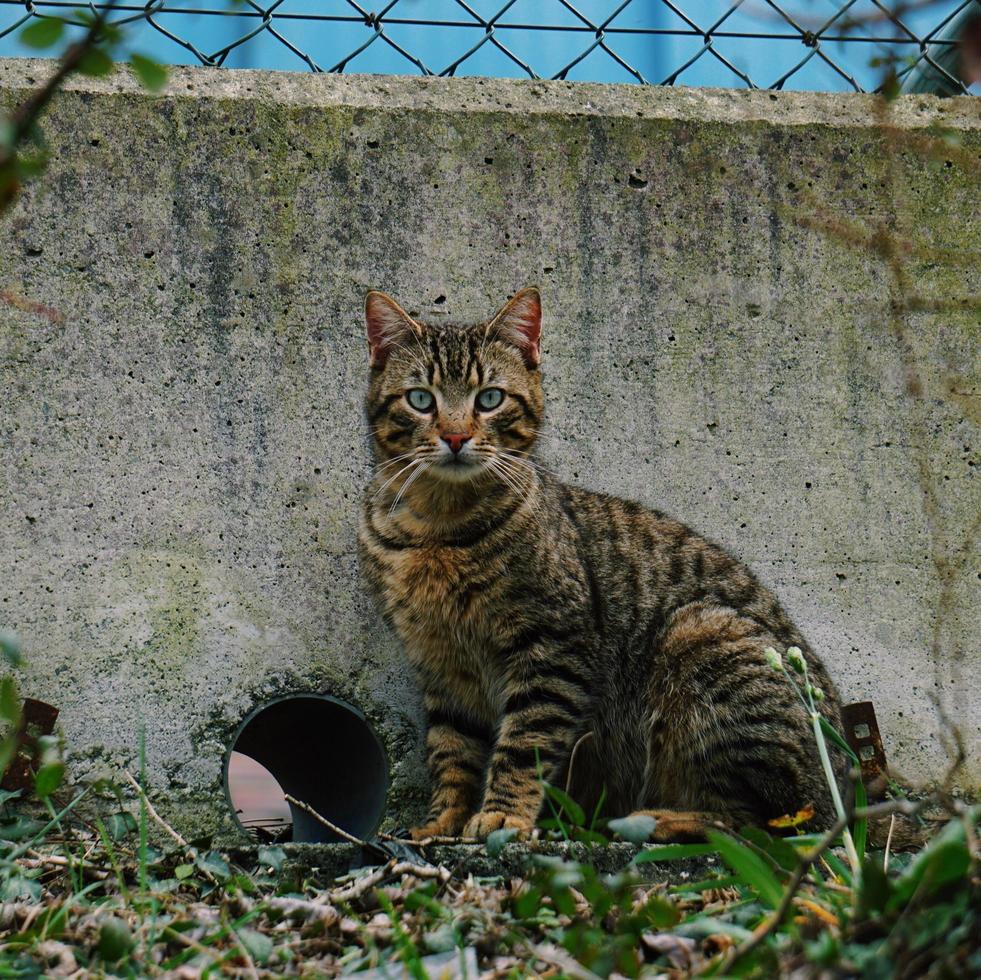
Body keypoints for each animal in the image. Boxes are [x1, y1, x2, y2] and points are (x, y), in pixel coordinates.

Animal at [360, 286, 844, 844]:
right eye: (421, 399)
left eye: (490, 399)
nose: (456, 437)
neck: (440, 526)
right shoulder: (439, 663)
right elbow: (452, 750)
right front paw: (443, 820)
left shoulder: (553, 649)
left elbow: (523, 744)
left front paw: (504, 814)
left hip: (703, 637)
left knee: (766, 825)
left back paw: (659, 819)